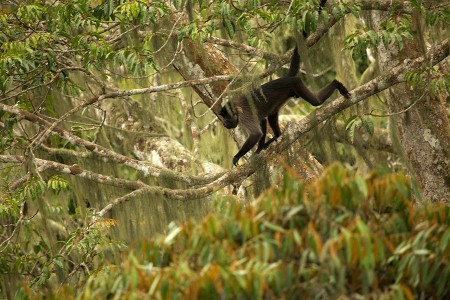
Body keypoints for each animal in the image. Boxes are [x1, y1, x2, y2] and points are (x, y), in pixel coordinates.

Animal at [218, 45, 352, 166]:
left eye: (227, 120)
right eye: (223, 120)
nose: (224, 124)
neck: (235, 108)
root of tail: (286, 78)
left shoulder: (244, 116)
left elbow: (256, 133)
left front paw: (238, 156)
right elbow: (263, 120)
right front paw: (260, 148)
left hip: (296, 83)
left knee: (316, 102)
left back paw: (337, 84)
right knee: (272, 116)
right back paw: (278, 136)